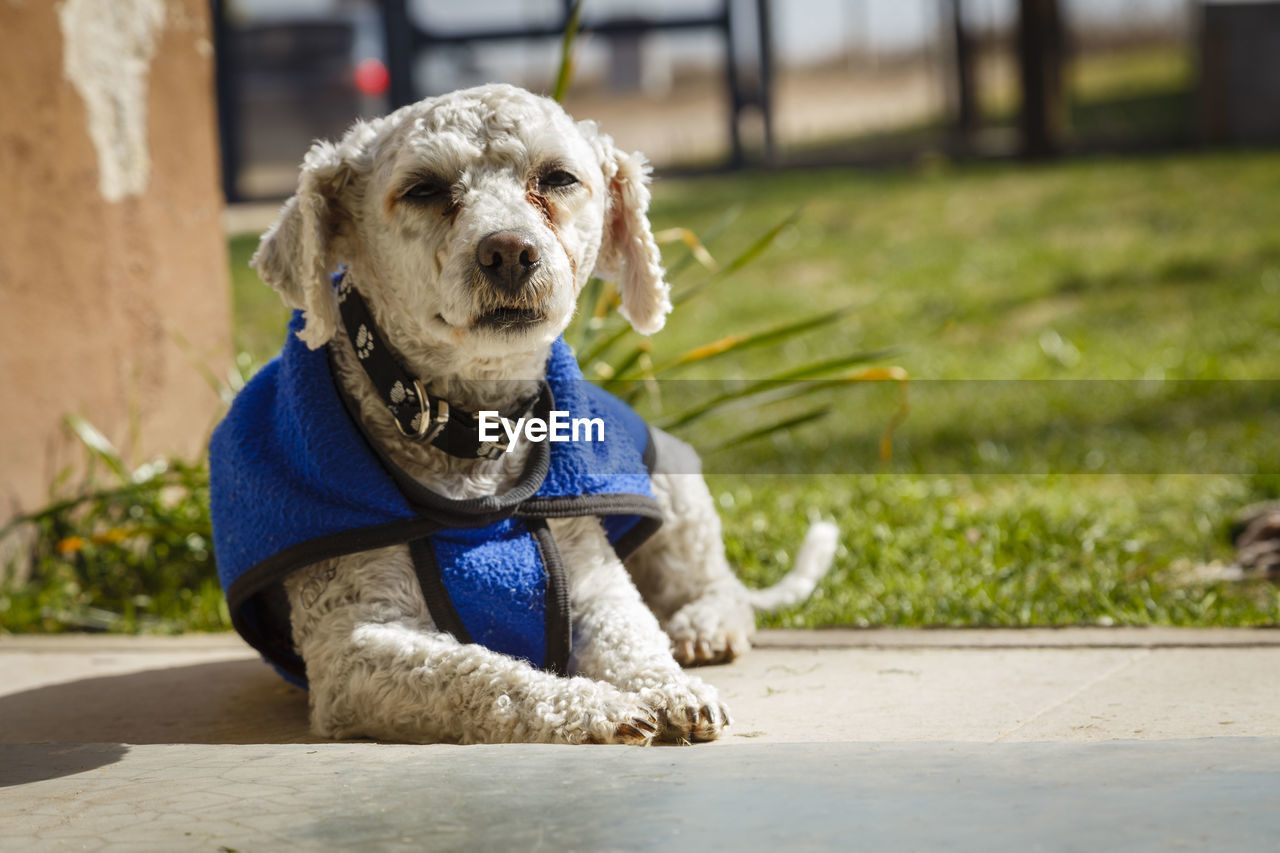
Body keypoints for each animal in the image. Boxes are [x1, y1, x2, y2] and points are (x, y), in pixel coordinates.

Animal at [249, 83, 839, 742]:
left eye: (557, 178)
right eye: (423, 189)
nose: (508, 249)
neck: (474, 435)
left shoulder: (596, 583)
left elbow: (636, 641)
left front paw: (673, 688)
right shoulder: (352, 645)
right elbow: (480, 673)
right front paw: (598, 707)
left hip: (673, 481)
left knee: (719, 587)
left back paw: (703, 627)